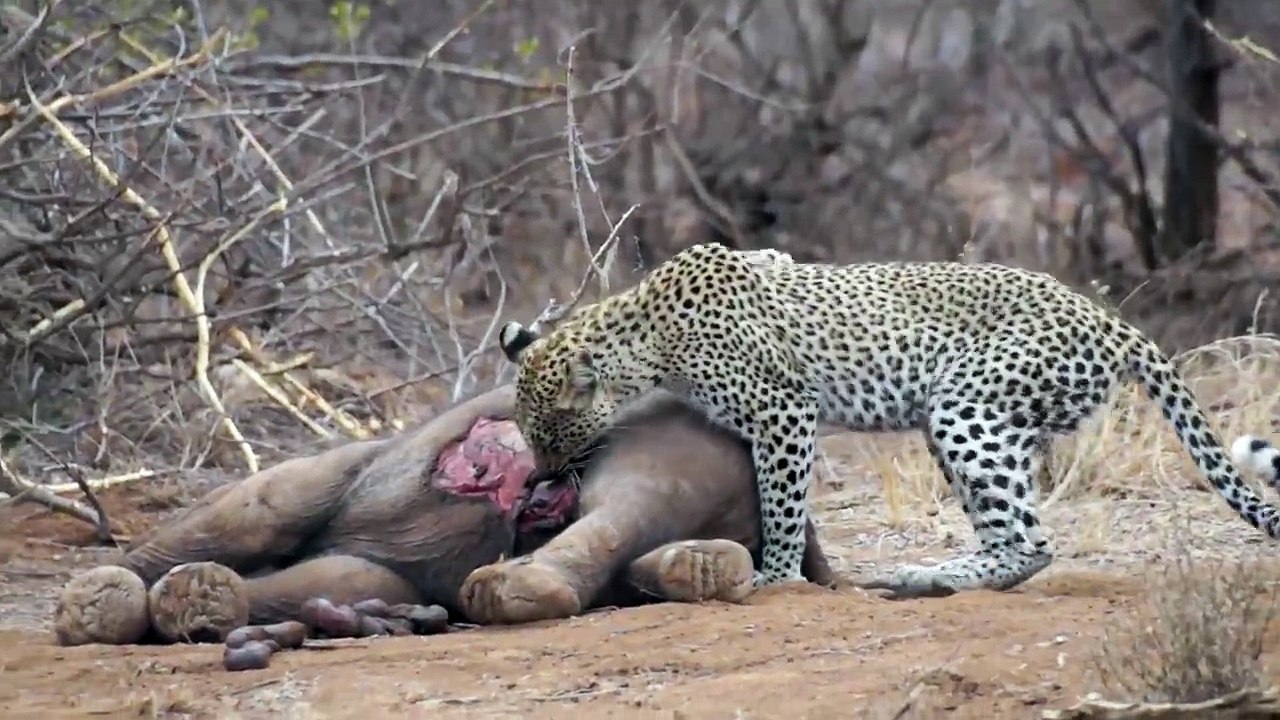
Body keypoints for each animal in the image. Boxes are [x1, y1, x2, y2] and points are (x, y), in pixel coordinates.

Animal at [498, 241, 1280, 599]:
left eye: (549, 434)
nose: (540, 475)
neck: (646, 332)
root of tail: (1110, 319)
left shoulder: (784, 409)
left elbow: (783, 503)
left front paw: (777, 575)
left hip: (967, 407)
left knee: (1032, 541)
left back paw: (927, 578)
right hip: (963, 424)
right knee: (1008, 534)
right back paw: (929, 575)